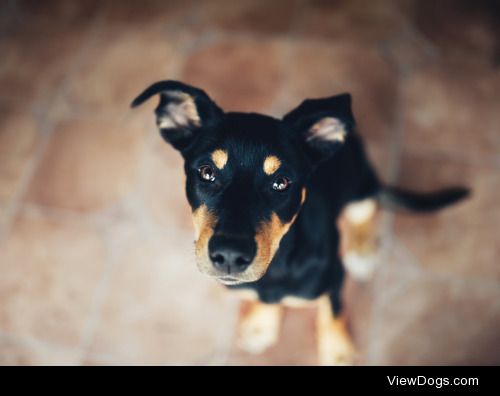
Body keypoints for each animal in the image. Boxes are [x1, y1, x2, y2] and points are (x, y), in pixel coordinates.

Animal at [131, 80, 466, 366]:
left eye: (282, 182)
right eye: (206, 172)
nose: (229, 256)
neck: (279, 261)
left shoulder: (333, 278)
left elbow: (332, 312)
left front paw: (337, 350)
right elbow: (267, 302)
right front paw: (261, 325)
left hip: (360, 187)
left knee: (366, 211)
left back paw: (362, 251)